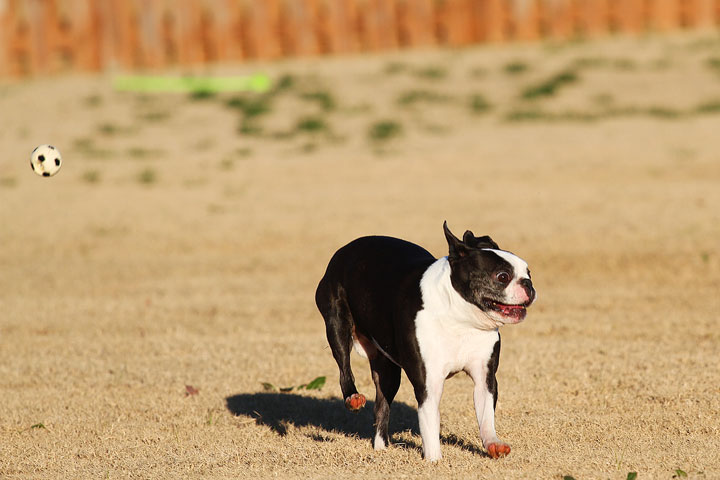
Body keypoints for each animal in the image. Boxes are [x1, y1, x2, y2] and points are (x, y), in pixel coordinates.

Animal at [316, 222, 536, 462]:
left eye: (528, 272)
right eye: (502, 276)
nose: (528, 284)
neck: (461, 318)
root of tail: (345, 248)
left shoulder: (484, 378)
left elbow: (486, 414)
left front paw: (493, 443)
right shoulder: (428, 384)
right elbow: (430, 423)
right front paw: (434, 460)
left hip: (387, 370)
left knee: (382, 405)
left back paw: (381, 448)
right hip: (337, 322)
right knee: (344, 368)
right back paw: (353, 397)